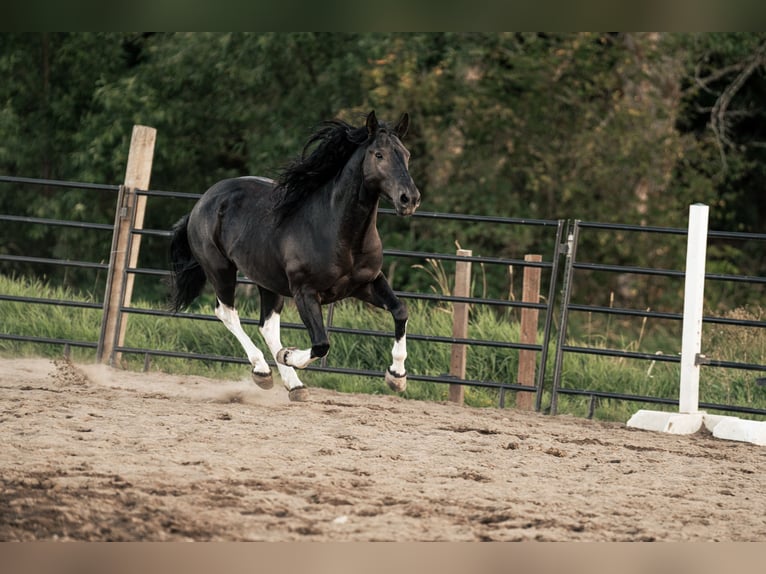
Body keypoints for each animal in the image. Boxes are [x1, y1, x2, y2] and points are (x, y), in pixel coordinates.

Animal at [170, 111, 420, 400]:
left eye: (407, 154)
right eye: (379, 154)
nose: (409, 199)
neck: (338, 232)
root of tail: (203, 201)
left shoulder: (367, 283)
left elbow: (400, 311)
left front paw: (397, 377)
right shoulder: (305, 292)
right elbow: (321, 343)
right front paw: (289, 355)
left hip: (266, 279)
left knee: (267, 326)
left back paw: (294, 385)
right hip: (220, 270)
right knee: (227, 313)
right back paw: (262, 370)